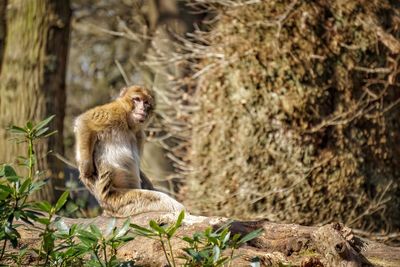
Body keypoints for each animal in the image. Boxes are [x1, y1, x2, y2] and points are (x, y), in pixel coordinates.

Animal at [74, 85, 185, 218]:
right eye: (137, 99)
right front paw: (86, 170)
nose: (142, 109)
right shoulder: (114, 112)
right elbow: (84, 121)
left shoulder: (140, 135)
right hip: (116, 203)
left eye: (146, 102)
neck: (128, 124)